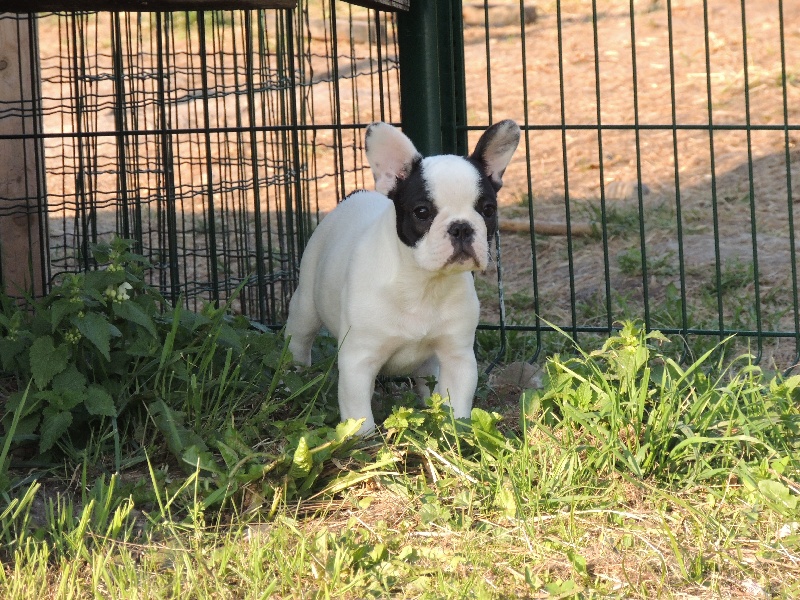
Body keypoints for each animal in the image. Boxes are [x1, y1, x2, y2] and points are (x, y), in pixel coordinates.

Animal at [284, 119, 520, 434]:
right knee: (299, 339)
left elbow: (456, 400)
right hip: (306, 306)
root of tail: (356, 195)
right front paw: (362, 438)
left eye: (488, 210)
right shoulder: (359, 358)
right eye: (422, 212)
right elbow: (358, 409)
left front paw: (455, 431)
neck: (423, 283)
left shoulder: (456, 356)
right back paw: (293, 377)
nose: (461, 227)